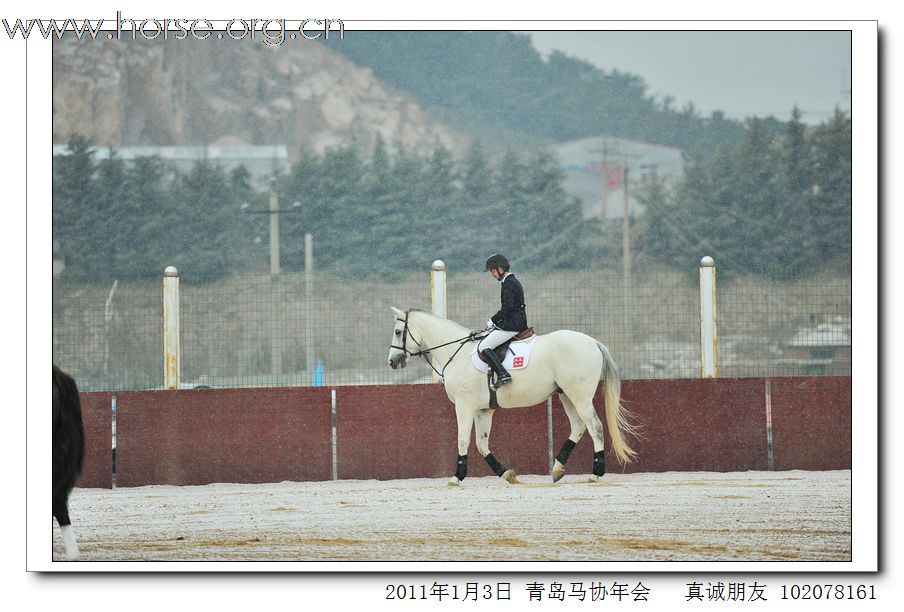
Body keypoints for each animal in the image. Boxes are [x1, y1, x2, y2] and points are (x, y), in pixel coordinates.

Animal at [386, 308, 636, 486]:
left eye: (398, 332)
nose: (392, 361)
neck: (458, 354)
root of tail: (592, 341)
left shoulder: (464, 406)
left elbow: (463, 440)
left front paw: (456, 477)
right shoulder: (483, 410)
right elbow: (481, 444)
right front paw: (506, 473)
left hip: (580, 395)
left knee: (595, 427)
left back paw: (596, 473)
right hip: (566, 395)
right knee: (578, 426)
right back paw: (557, 469)